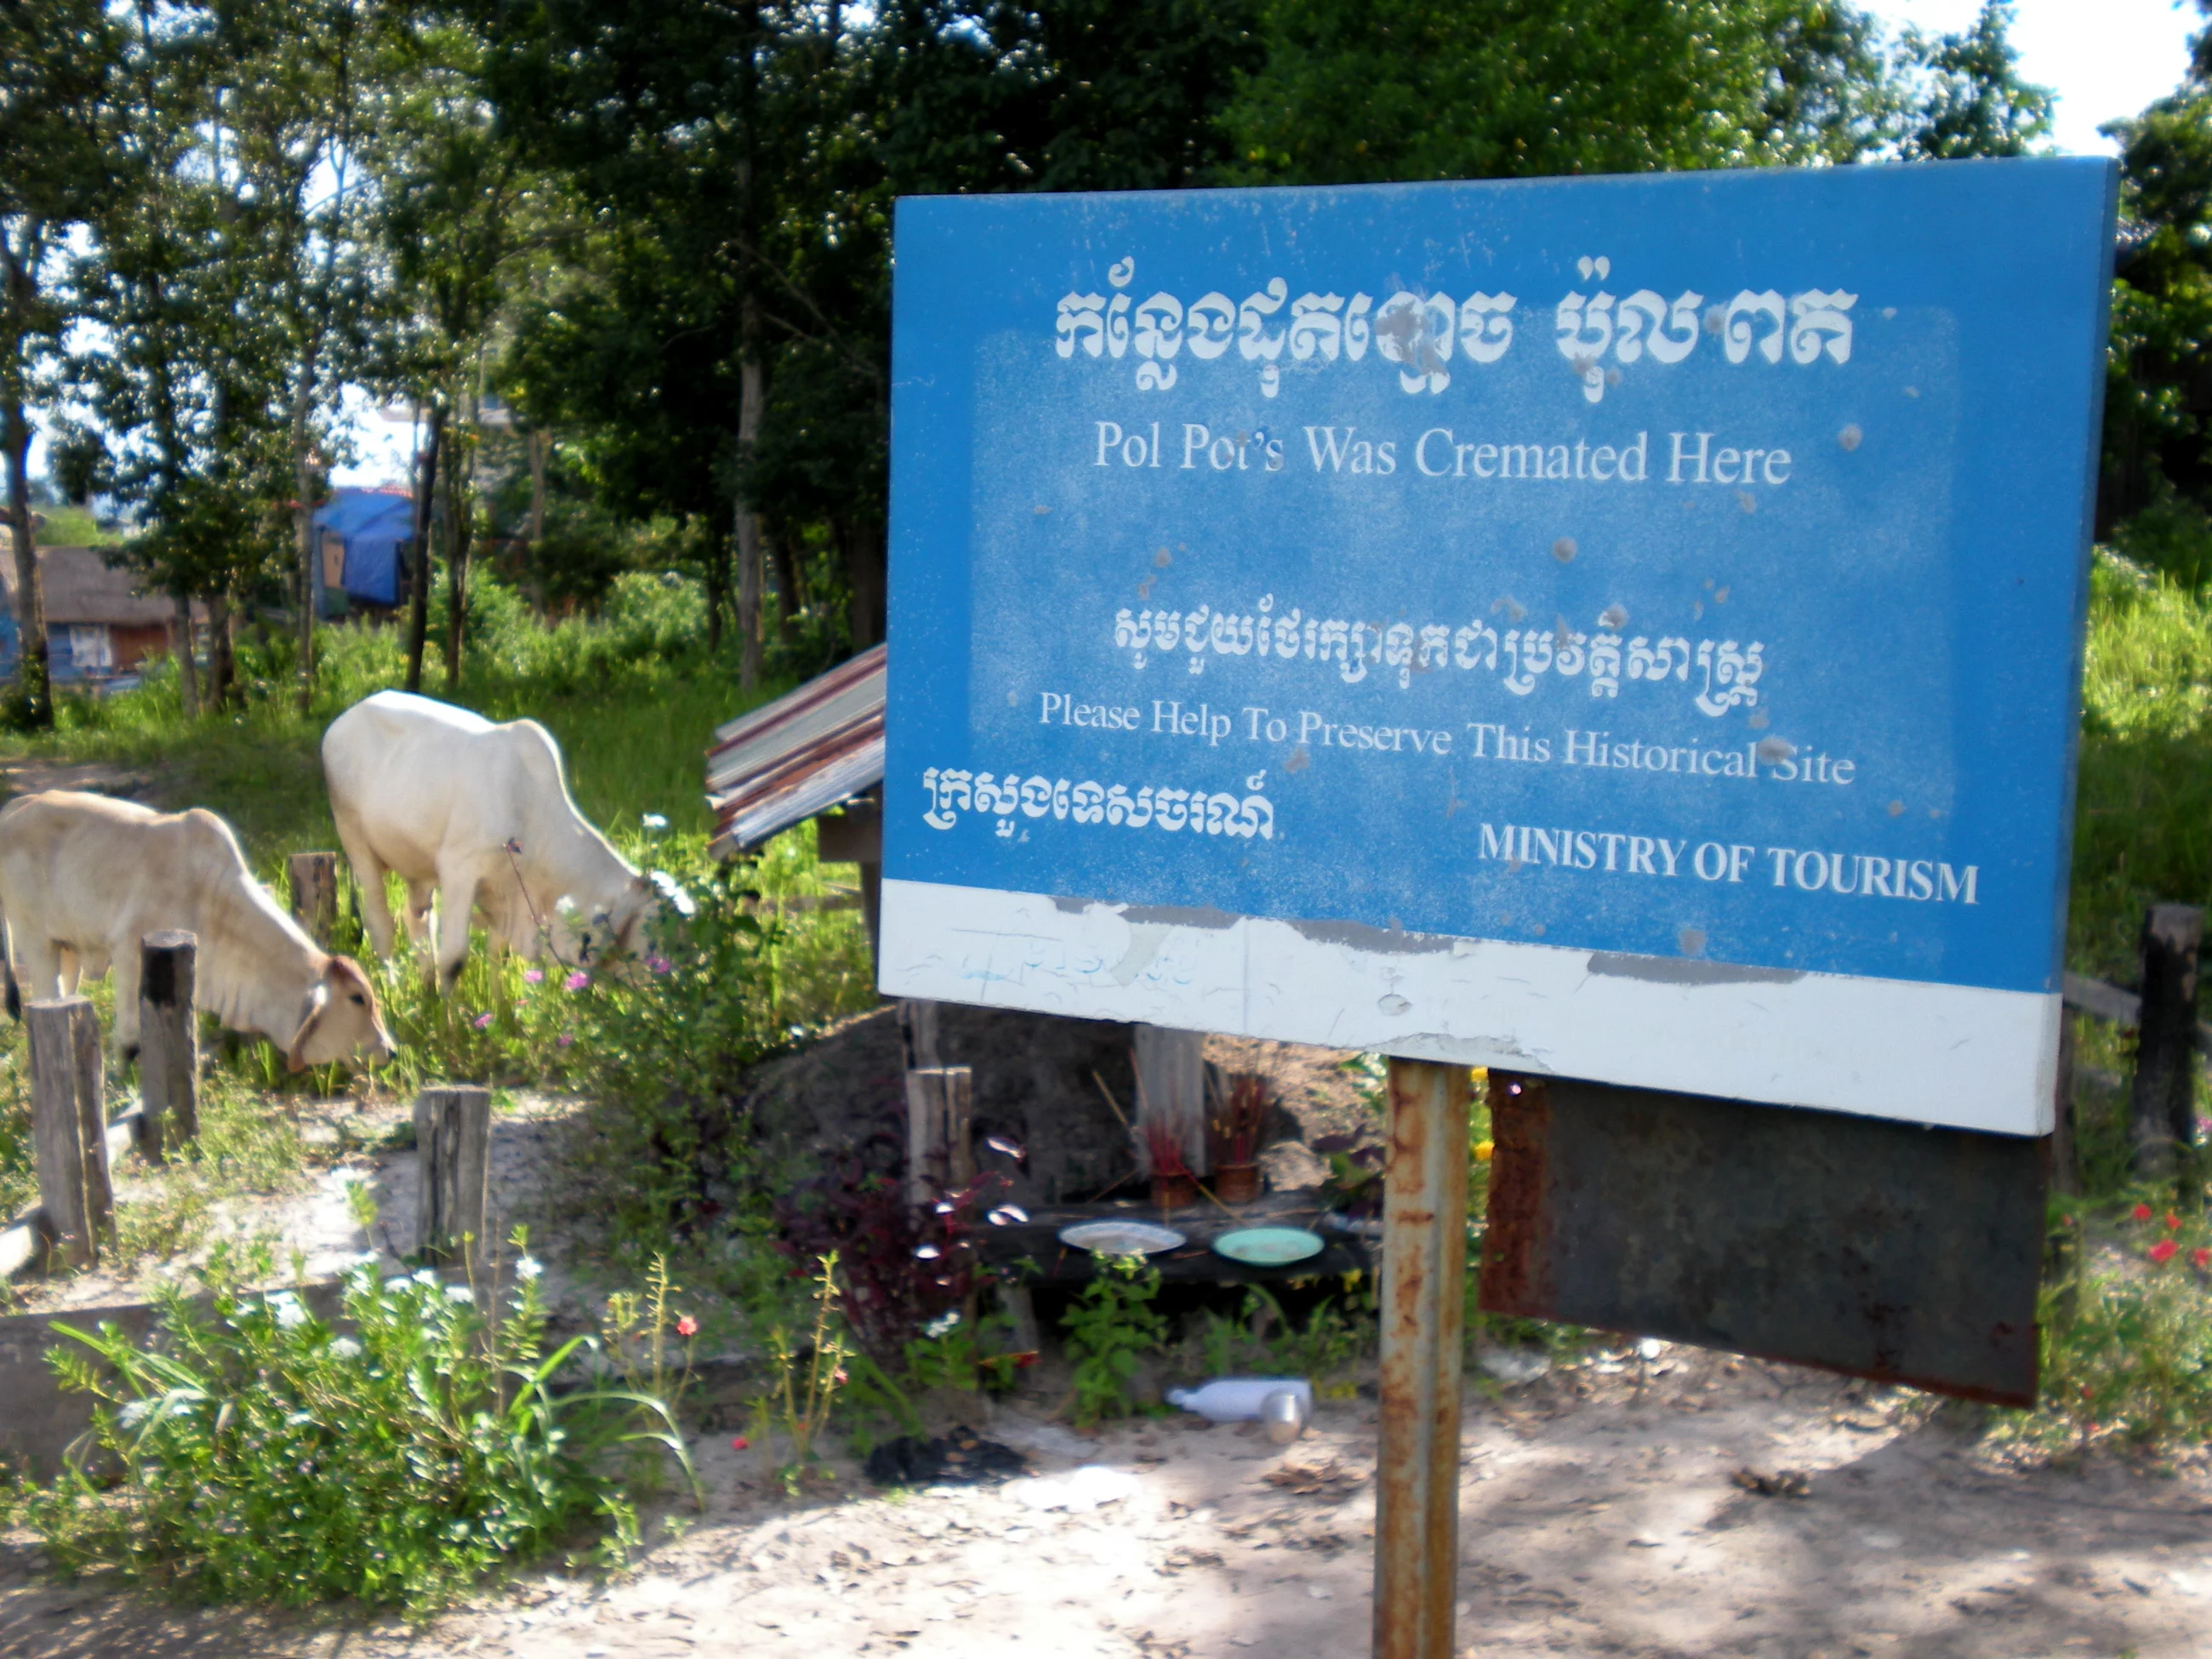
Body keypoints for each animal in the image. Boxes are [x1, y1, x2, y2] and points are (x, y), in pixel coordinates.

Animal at [0, 787, 391, 1070]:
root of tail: (16, 807)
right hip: (35, 940)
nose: (390, 1050)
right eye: (357, 997)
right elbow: (128, 1041)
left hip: (67, 947)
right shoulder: (127, 952)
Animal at [318, 690, 654, 995]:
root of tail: (344, 719)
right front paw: (449, 1019)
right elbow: (453, 959)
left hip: (418, 866)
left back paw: (426, 988)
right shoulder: (460, 870)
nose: (660, 991)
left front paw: (499, 1011)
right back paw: (391, 992)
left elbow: (498, 953)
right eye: (651, 935)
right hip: (355, 841)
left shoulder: (505, 890)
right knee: (381, 925)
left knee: (418, 920)